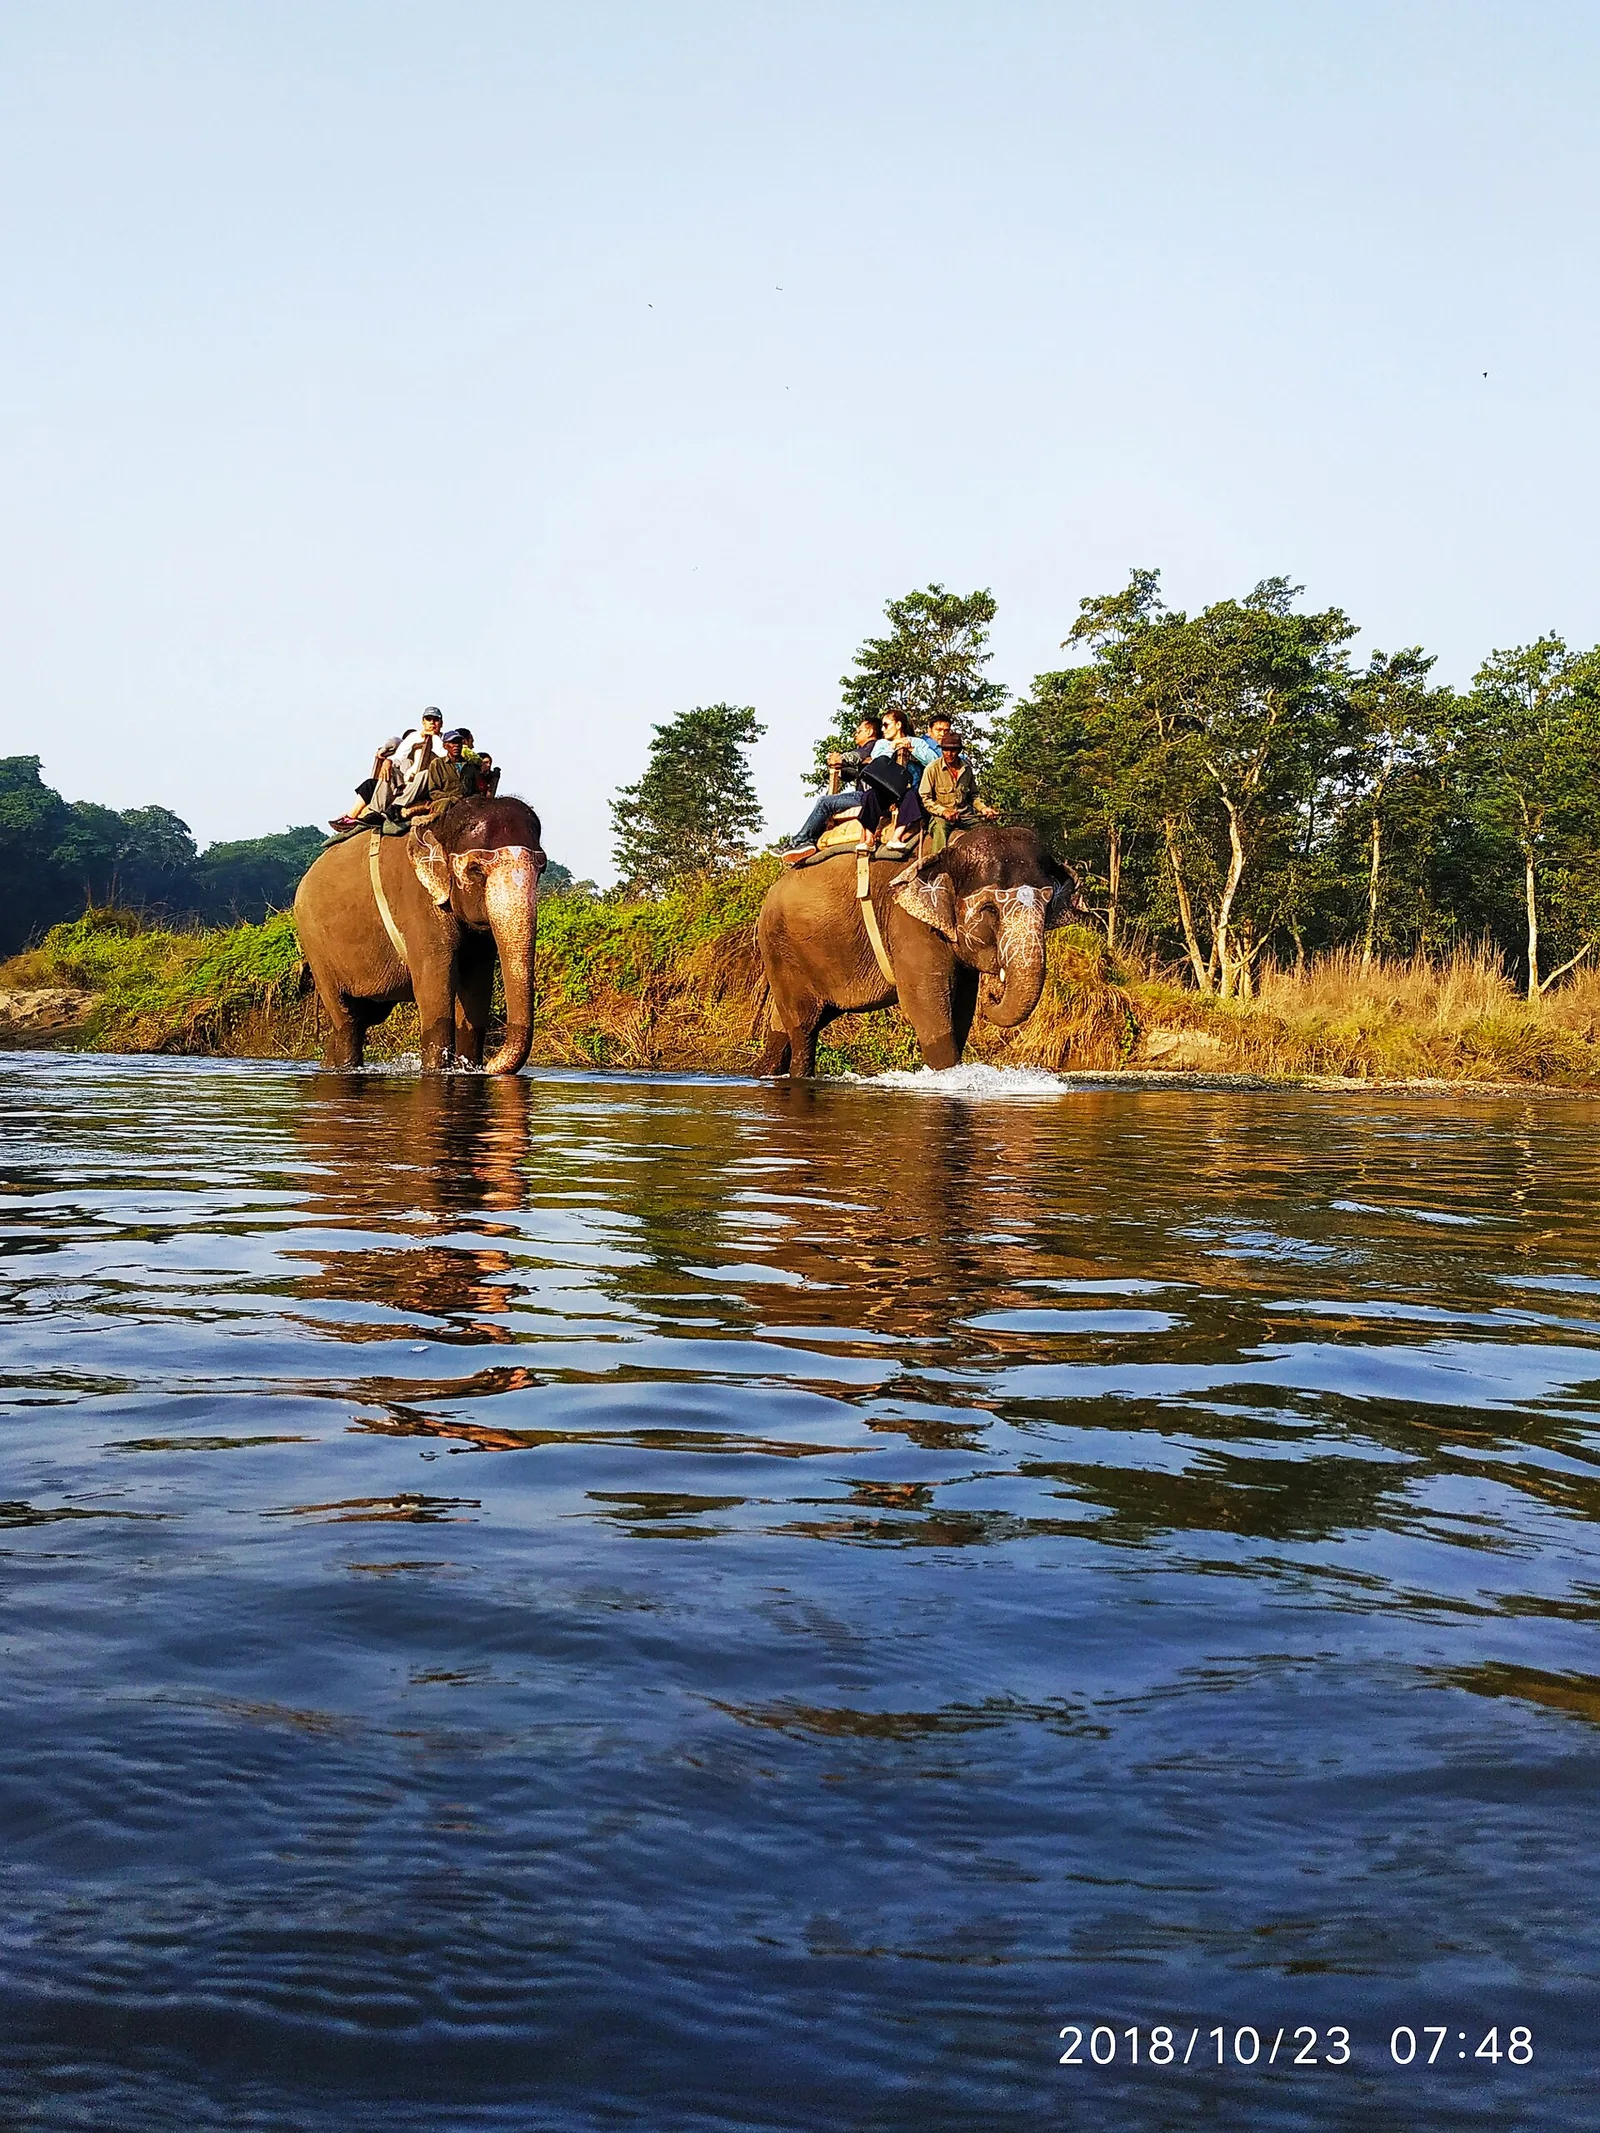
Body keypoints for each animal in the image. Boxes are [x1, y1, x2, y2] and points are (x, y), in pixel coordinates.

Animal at [293, 795, 547, 1073]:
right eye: (476, 870)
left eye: (542, 869)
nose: (489, 1065)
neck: (441, 822)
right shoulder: (415, 900)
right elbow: (434, 982)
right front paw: (437, 1071)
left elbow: (477, 984)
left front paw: (468, 1069)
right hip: (315, 946)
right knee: (347, 1020)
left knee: (364, 1017)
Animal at [756, 823, 1081, 1076]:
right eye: (989, 908)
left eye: (1048, 904)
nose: (993, 995)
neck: (951, 845)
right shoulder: (907, 922)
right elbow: (927, 1006)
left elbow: (961, 1008)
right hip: (781, 950)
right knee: (804, 1027)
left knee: (783, 1026)